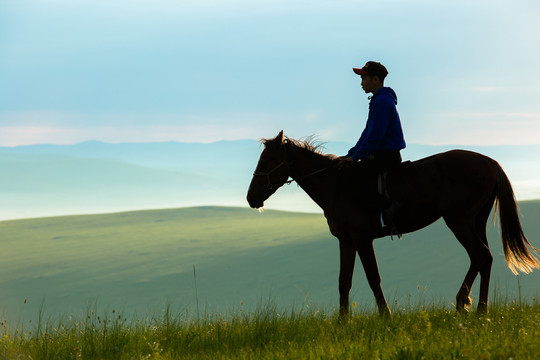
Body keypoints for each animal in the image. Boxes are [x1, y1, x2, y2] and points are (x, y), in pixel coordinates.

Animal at [247, 131, 536, 316]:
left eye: (267, 161)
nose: (251, 198)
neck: (336, 185)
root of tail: (489, 161)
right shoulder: (346, 241)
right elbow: (344, 281)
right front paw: (342, 322)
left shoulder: (362, 239)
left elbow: (373, 278)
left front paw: (385, 316)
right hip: (476, 221)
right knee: (485, 259)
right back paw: (479, 309)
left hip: (459, 221)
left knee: (480, 256)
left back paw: (464, 304)